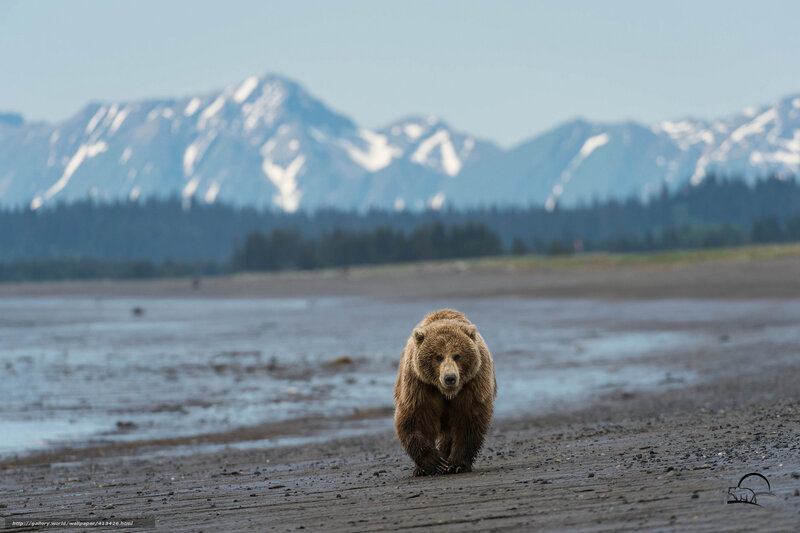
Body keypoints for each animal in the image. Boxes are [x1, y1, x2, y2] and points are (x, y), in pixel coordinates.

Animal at [394, 309, 497, 476]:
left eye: (457, 355)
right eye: (438, 356)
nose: (450, 378)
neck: (446, 392)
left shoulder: (472, 384)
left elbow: (468, 419)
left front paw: (455, 464)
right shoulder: (419, 385)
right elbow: (415, 417)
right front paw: (433, 462)